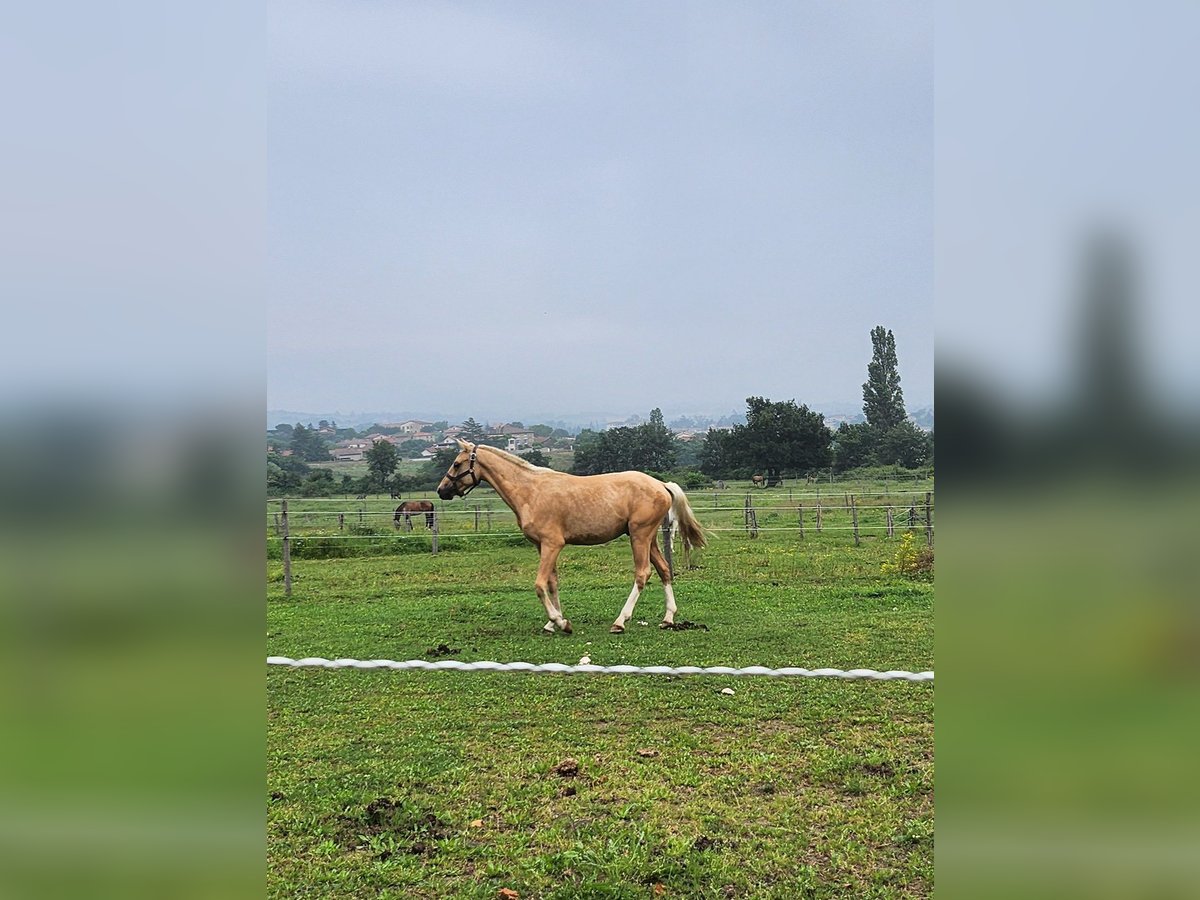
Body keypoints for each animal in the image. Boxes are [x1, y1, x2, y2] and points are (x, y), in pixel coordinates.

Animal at [439, 441, 700, 638]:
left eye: (457, 463)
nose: (442, 490)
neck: (530, 492)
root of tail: (662, 485)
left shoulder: (552, 544)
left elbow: (539, 584)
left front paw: (560, 622)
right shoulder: (542, 546)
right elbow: (552, 583)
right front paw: (553, 623)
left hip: (640, 535)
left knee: (643, 573)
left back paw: (620, 622)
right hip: (648, 538)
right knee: (664, 570)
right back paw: (668, 619)